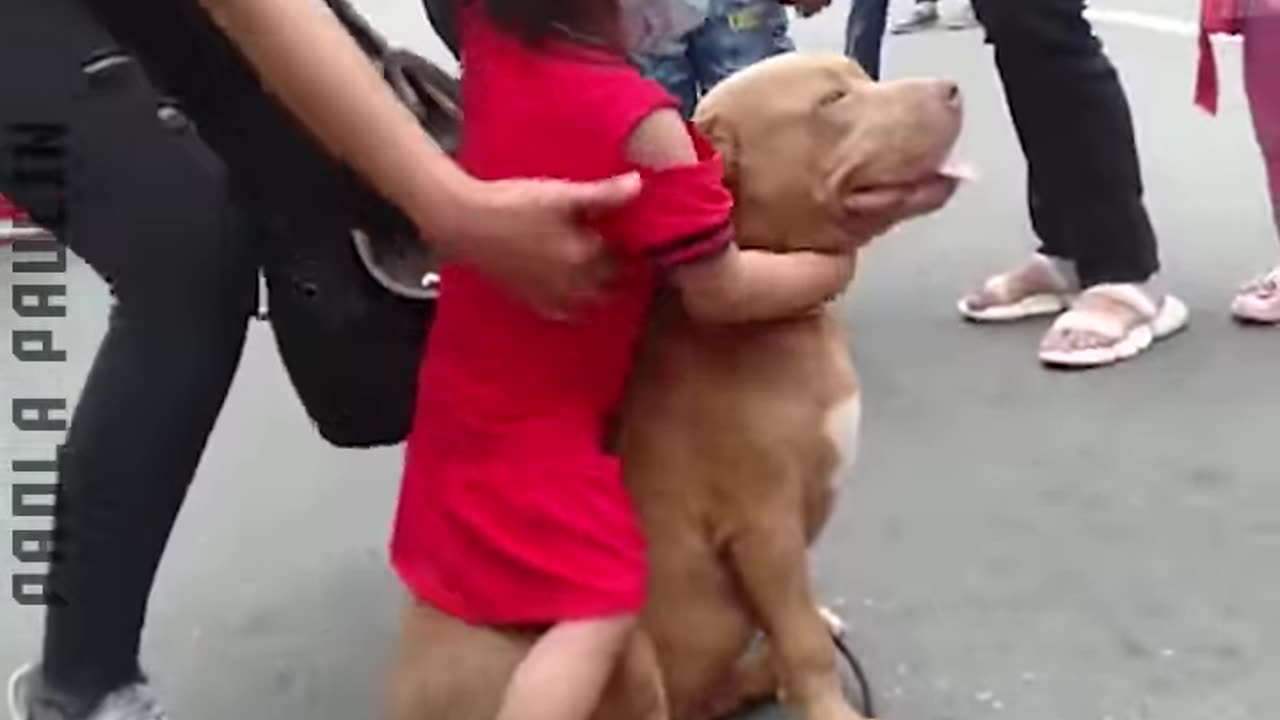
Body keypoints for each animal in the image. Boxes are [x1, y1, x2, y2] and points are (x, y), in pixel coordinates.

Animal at [384, 51, 962, 717]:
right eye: (832, 102)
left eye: (859, 79)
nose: (953, 91)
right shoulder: (763, 525)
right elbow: (801, 638)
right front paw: (828, 705)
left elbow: (792, 620)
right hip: (621, 649)